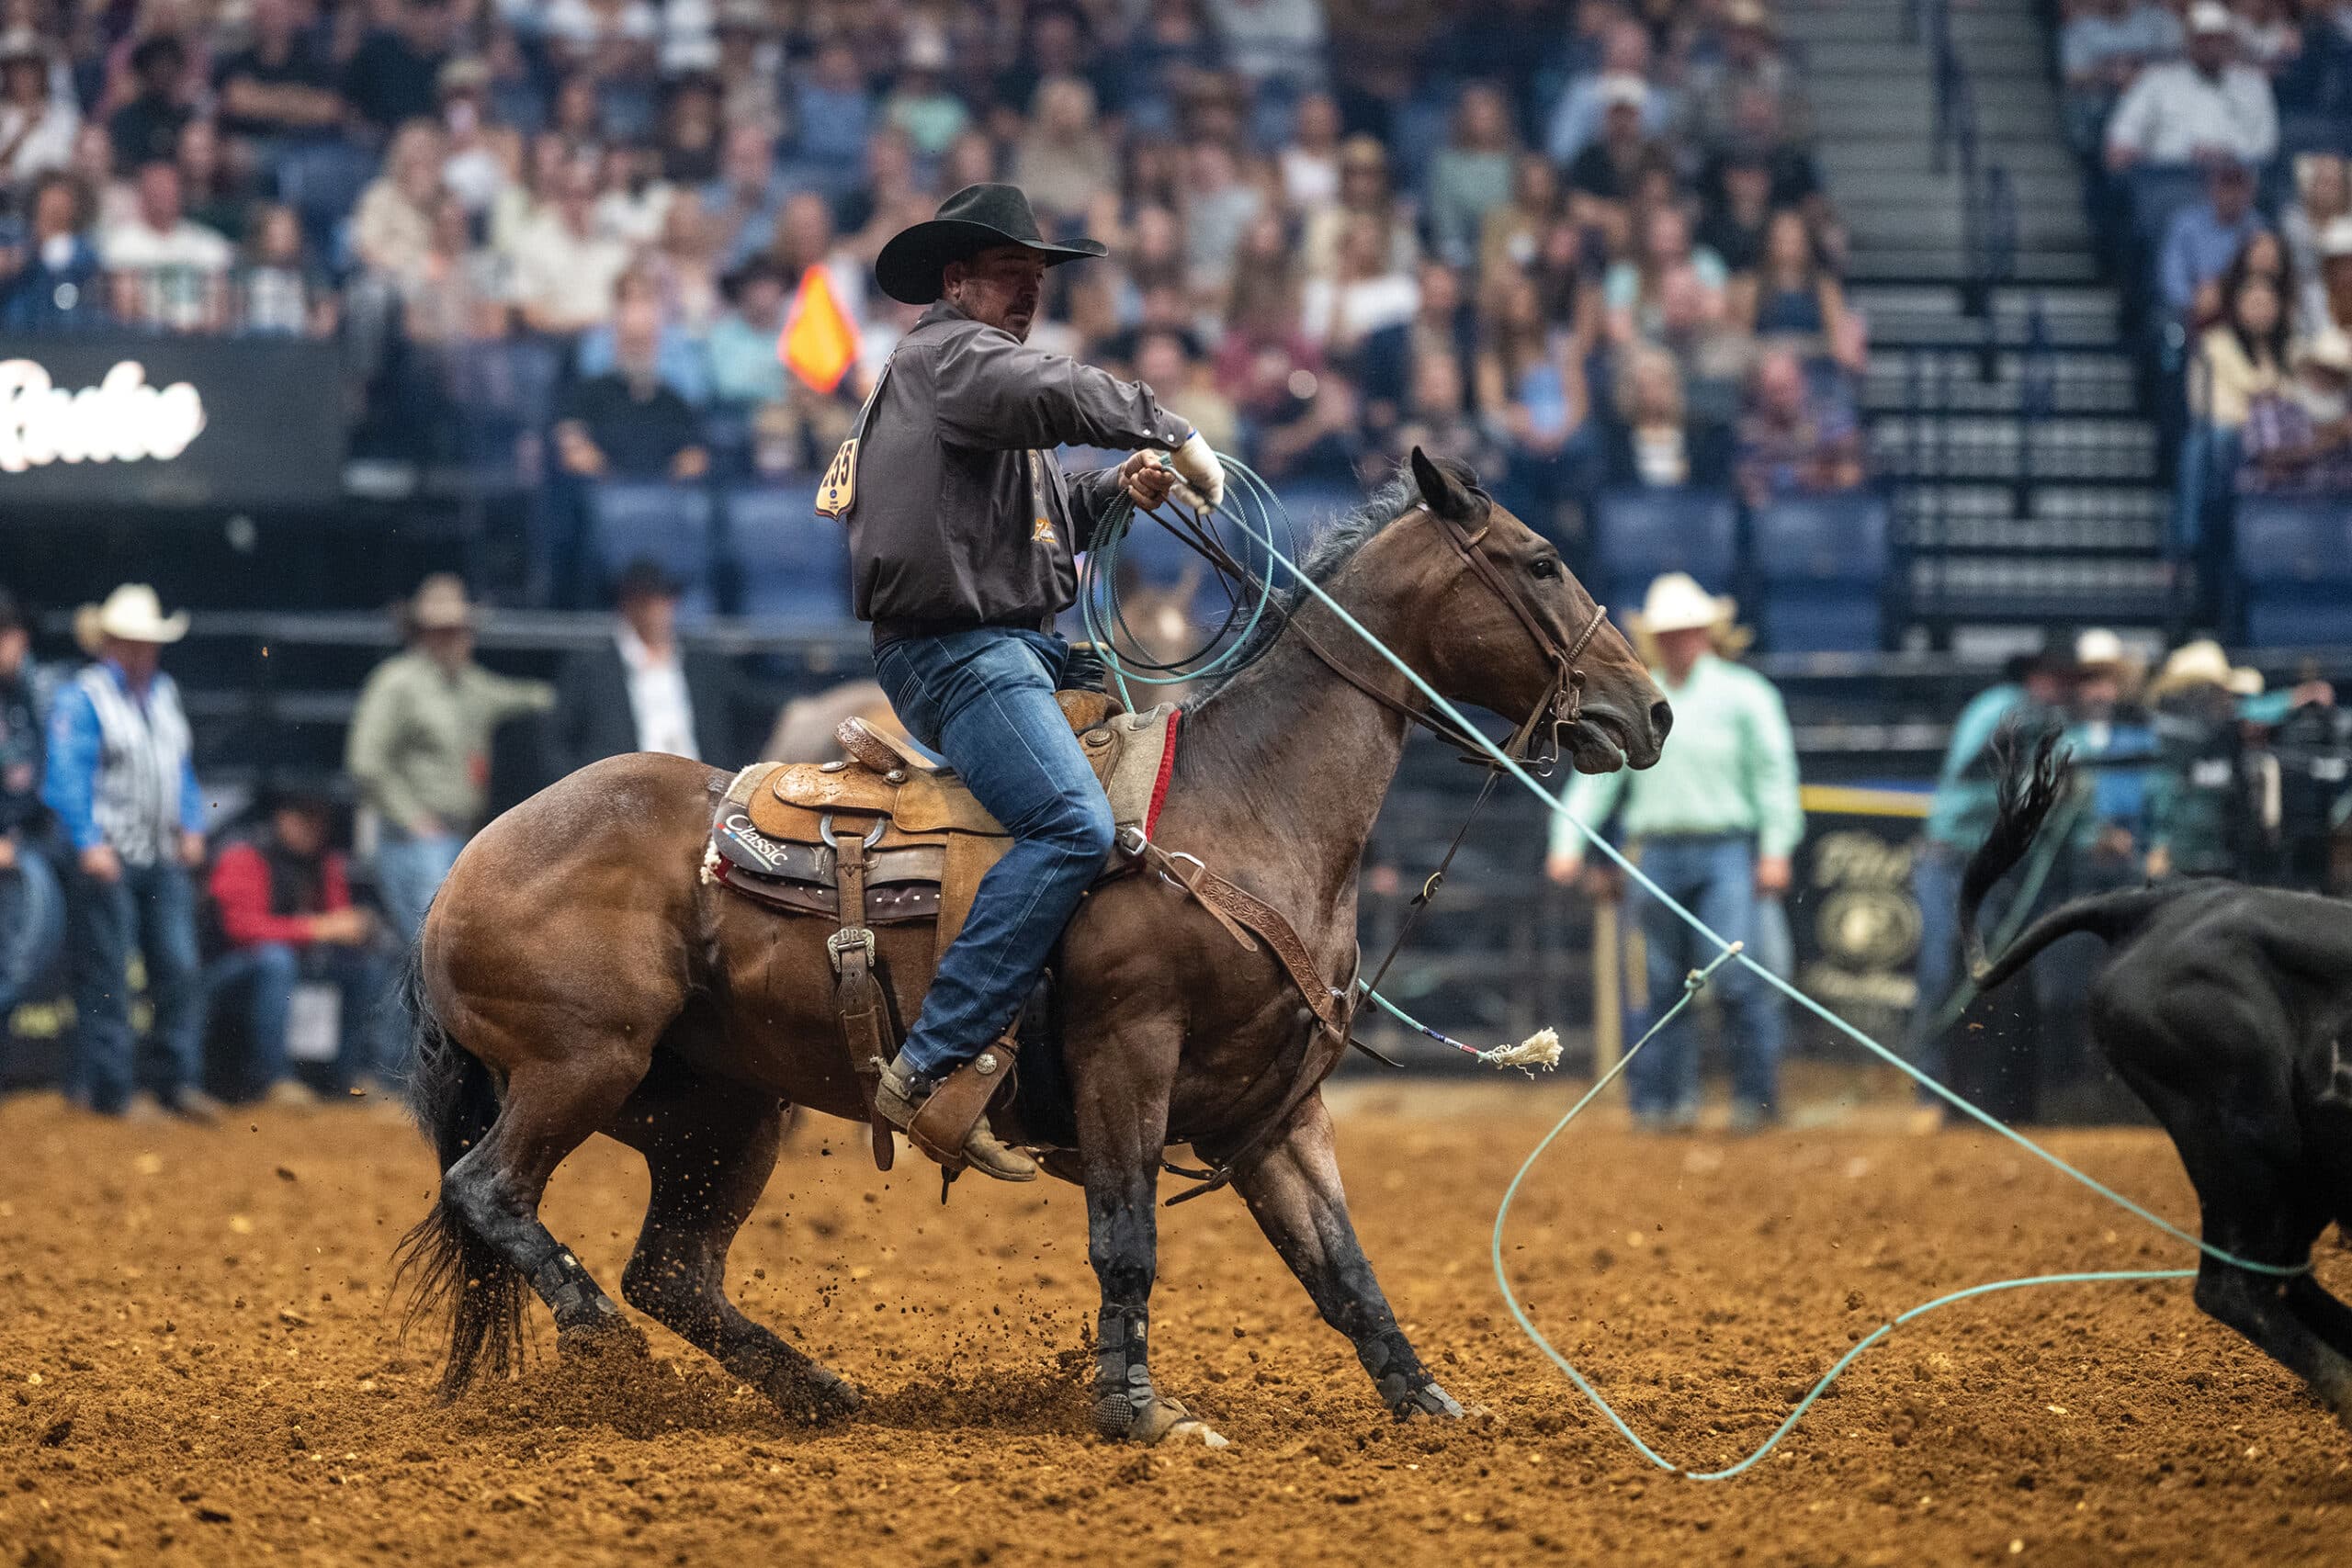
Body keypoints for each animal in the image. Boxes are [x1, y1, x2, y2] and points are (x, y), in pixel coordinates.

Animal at [395, 449, 1672, 1445]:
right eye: (1541, 561)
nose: (1649, 710)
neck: (1244, 806)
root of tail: (465, 866)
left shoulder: (1273, 1106)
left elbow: (1339, 1265)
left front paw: (1431, 1406)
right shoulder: (1128, 1055)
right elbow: (1127, 1241)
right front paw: (1140, 1412)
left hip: (719, 1111)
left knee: (671, 1270)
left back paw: (816, 1390)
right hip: (582, 1062)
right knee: (490, 1190)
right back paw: (600, 1336)